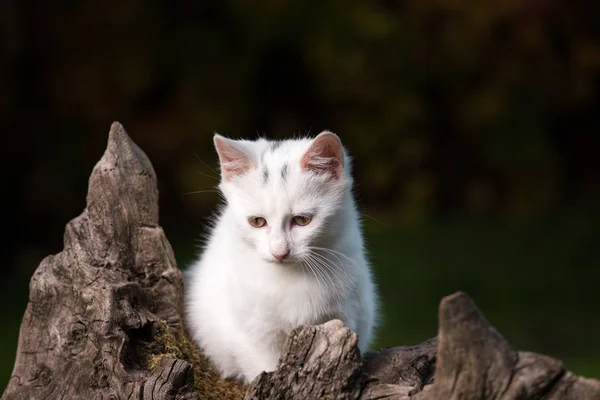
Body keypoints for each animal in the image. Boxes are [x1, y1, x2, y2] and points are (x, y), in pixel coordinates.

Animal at [185, 132, 378, 384]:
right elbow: (264, 366)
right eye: (257, 221)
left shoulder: (349, 316)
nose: (279, 252)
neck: (293, 277)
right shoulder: (254, 332)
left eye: (303, 220)